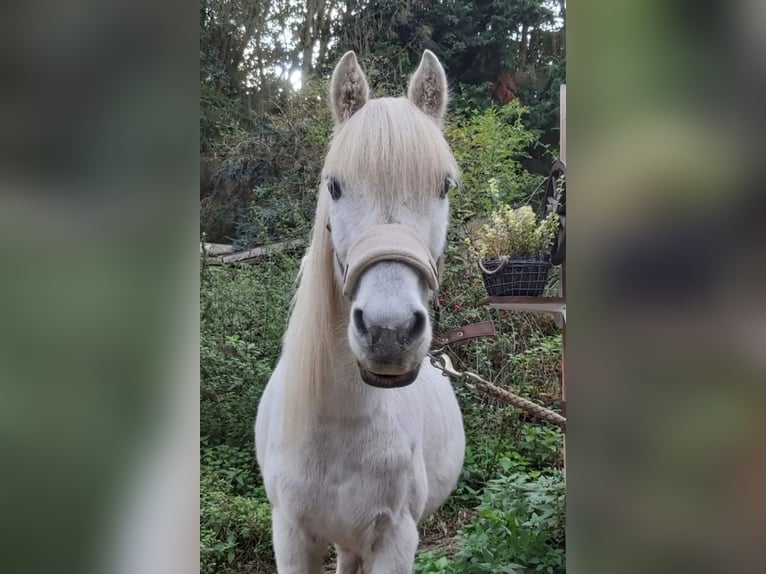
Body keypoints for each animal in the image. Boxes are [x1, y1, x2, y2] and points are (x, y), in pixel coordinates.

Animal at [255, 50, 465, 574]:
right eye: (335, 185)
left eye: (444, 186)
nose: (389, 332)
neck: (340, 424)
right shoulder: (291, 535)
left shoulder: (395, 539)